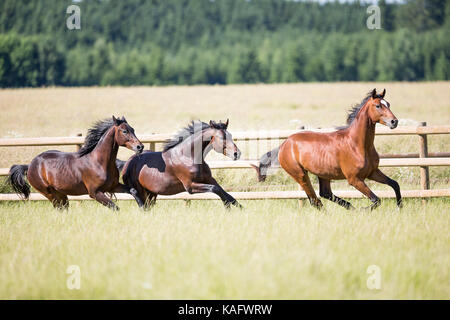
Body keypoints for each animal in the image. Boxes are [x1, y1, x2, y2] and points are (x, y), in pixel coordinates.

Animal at [7, 115, 144, 210]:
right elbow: (115, 207)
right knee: (59, 208)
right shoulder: (95, 193)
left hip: (61, 194)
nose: (140, 147)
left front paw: (143, 209)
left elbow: (133, 191)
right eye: (124, 131)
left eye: (133, 129)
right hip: (50, 194)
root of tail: (29, 165)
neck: (99, 162)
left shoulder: (113, 186)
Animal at [253, 89, 404, 210]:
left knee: (324, 194)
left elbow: (395, 184)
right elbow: (376, 200)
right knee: (315, 200)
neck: (358, 145)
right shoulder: (354, 179)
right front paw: (364, 210)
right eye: (378, 105)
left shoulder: (373, 172)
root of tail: (284, 144)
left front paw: (399, 207)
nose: (394, 122)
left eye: (388, 104)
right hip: (300, 175)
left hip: (323, 174)